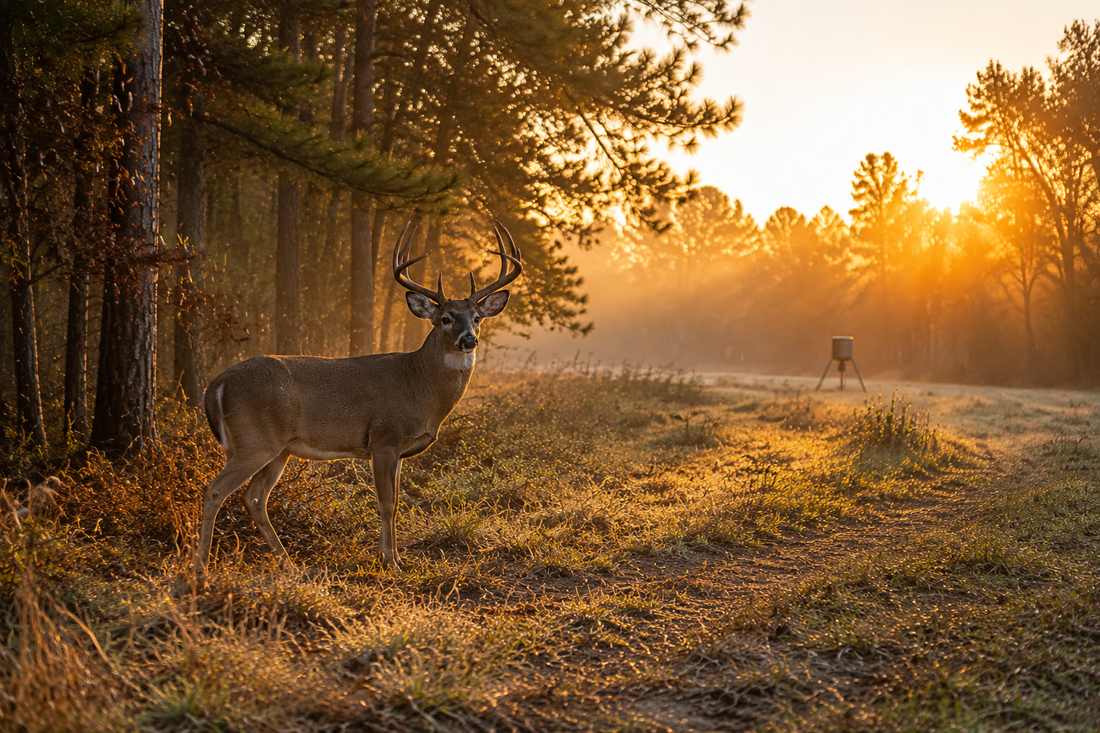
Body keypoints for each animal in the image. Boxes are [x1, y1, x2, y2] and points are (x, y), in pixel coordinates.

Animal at [193, 221, 521, 582]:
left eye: (477, 317)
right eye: (446, 318)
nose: (469, 340)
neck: (419, 385)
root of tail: (216, 385)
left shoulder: (398, 449)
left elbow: (395, 502)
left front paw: (392, 557)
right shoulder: (384, 438)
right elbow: (387, 503)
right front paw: (391, 561)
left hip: (279, 449)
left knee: (253, 498)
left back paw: (288, 564)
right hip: (256, 439)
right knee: (215, 489)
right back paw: (201, 567)